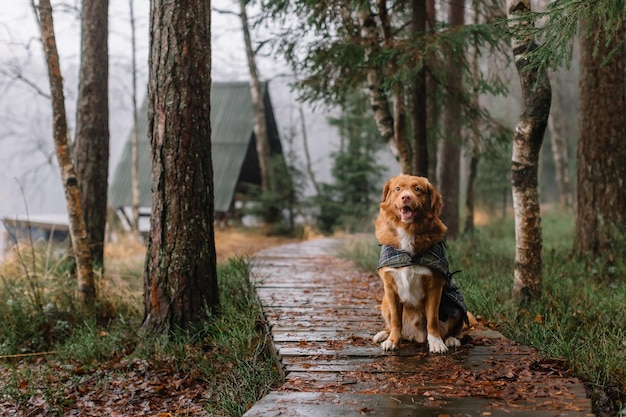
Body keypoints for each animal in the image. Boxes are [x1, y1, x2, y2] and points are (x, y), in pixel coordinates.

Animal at [370, 174, 464, 352]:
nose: (406, 197)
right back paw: (383, 334)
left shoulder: (435, 287)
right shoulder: (390, 288)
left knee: (457, 329)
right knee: (390, 323)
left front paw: (436, 342)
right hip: (384, 302)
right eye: (398, 189)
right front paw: (393, 340)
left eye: (417, 189)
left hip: (457, 305)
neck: (408, 231)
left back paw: (451, 339)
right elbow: (396, 320)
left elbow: (432, 319)